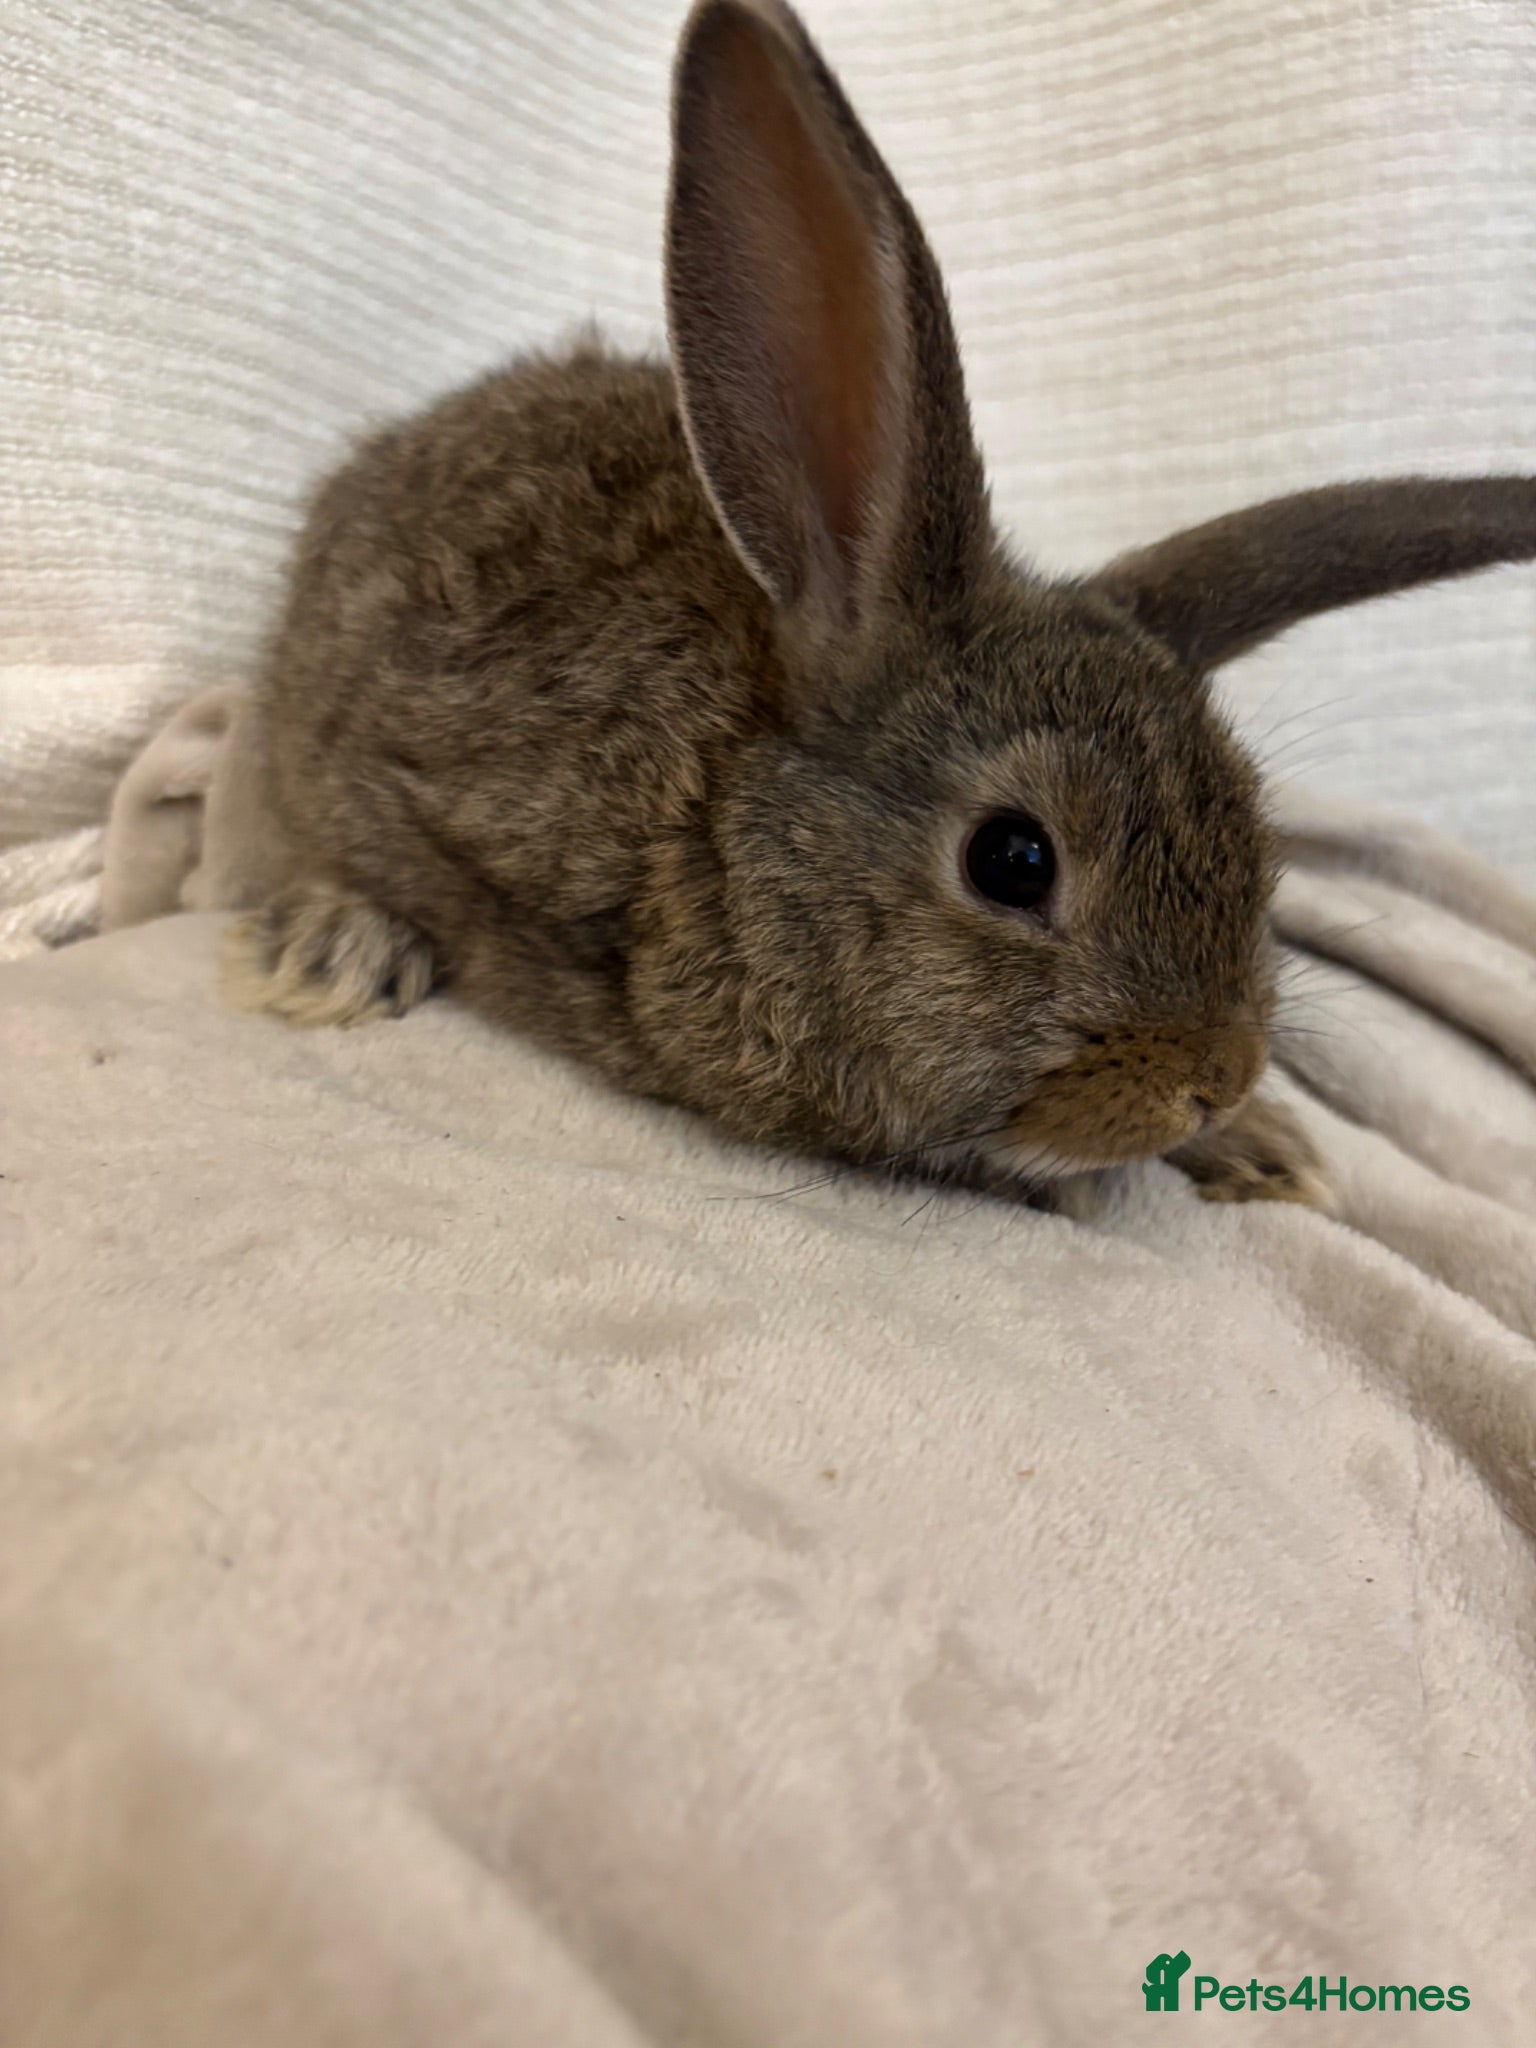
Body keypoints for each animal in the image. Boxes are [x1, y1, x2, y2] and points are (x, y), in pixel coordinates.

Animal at [228, 0, 1536, 1216]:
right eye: (1013, 859)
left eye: (1257, 834)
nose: (1216, 1073)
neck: (725, 816)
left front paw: (1264, 1144)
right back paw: (336, 950)